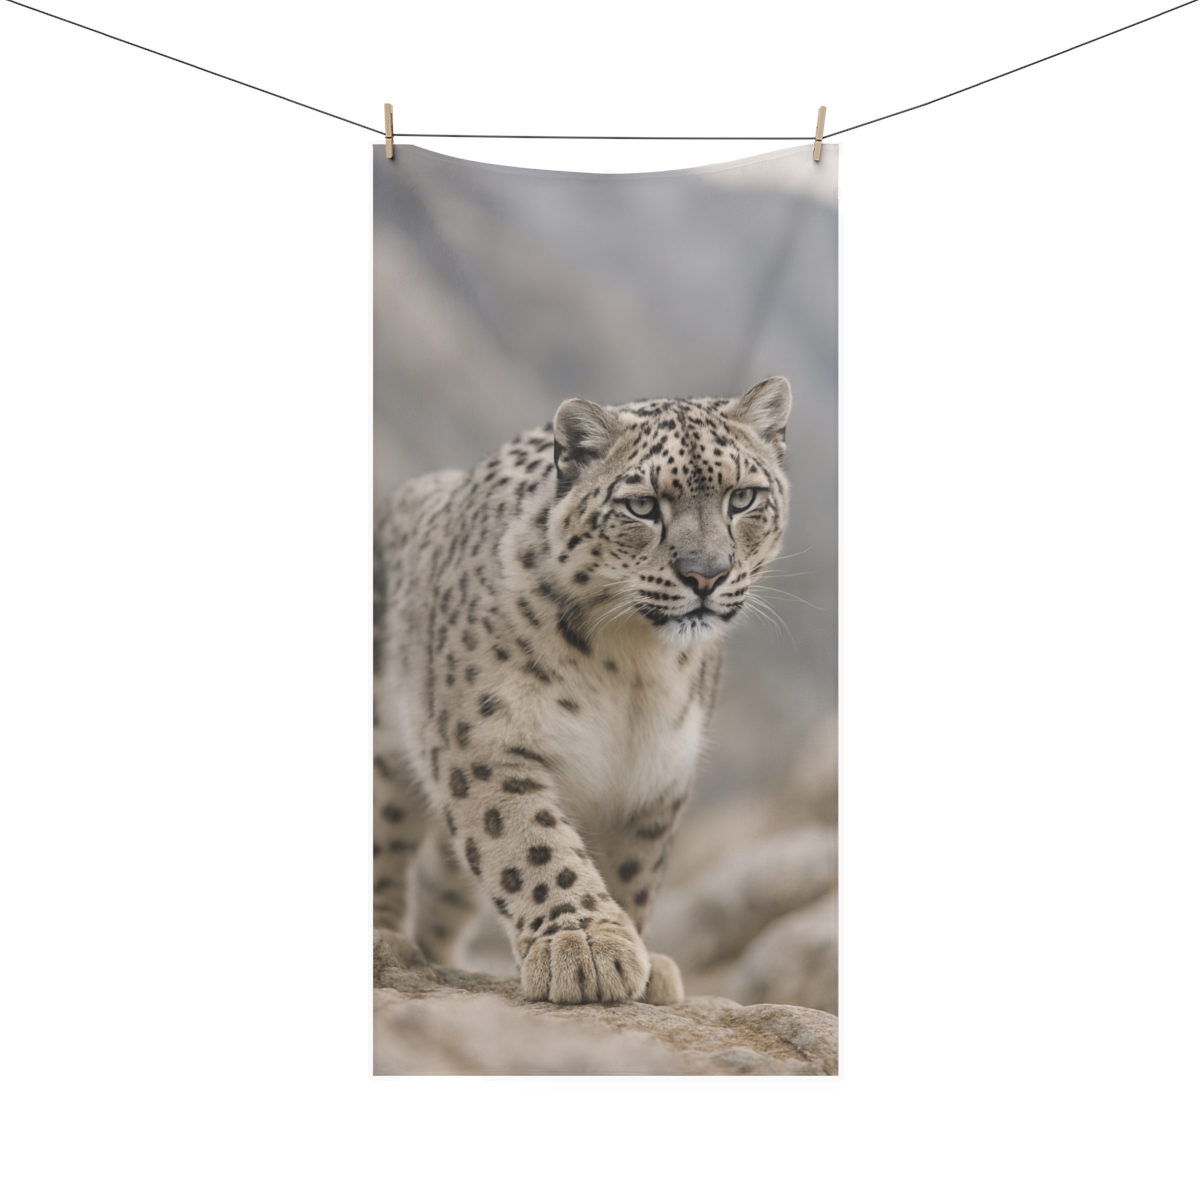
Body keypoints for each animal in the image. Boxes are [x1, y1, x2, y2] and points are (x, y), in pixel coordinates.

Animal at [373, 376, 792, 1005]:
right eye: (642, 505)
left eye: (742, 497)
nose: (707, 574)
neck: (634, 669)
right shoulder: (487, 739)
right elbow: (530, 841)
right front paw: (585, 947)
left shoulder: (655, 776)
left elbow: (633, 870)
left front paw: (640, 960)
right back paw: (384, 940)